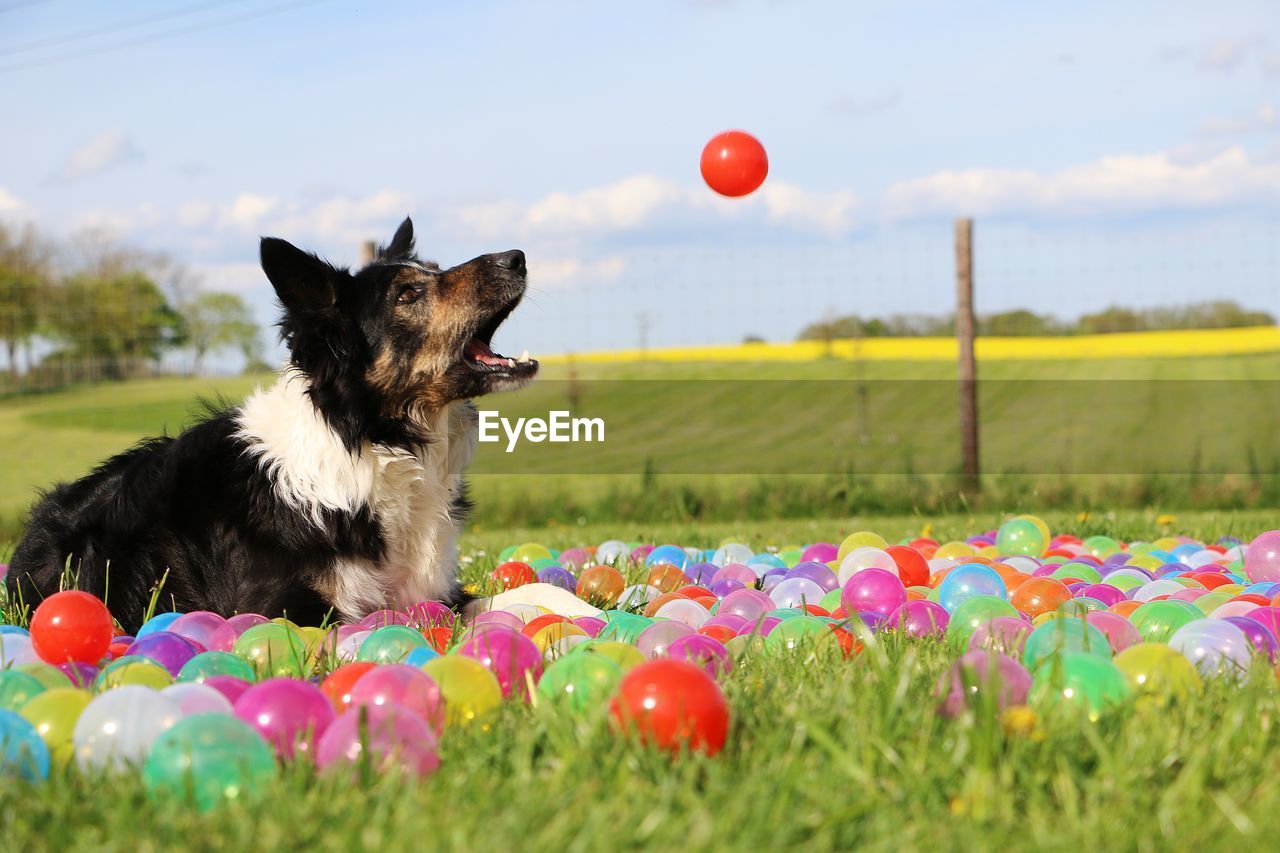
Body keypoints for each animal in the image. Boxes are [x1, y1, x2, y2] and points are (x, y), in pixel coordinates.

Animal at [5, 217, 596, 630]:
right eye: (408, 294)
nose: (517, 257)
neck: (376, 443)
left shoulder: (432, 588)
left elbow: (523, 596)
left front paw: (589, 612)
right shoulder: (285, 608)